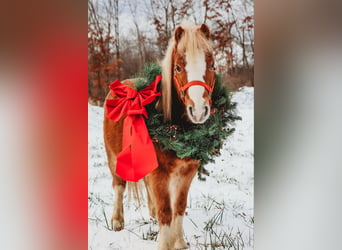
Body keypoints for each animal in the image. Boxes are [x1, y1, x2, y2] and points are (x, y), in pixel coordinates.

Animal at [104, 20, 215, 249]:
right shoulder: (160, 173)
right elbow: (166, 211)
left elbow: (179, 207)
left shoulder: (187, 172)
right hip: (113, 158)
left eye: (211, 65)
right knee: (118, 186)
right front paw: (166, 243)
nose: (199, 111)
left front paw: (179, 243)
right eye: (178, 67)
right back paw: (117, 221)